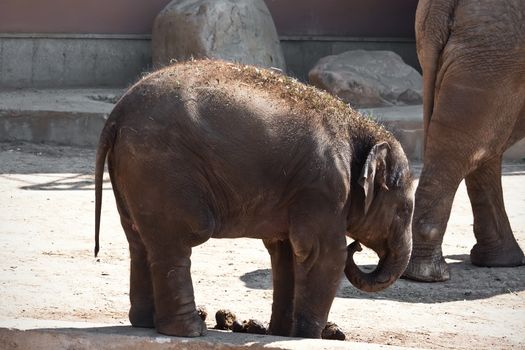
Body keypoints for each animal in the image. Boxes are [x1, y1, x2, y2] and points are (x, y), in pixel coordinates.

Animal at [95, 58, 414, 338]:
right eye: (405, 209)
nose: (356, 246)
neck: (359, 128)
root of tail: (117, 114)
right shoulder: (324, 188)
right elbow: (324, 253)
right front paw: (307, 338)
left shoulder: (300, 192)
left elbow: (285, 253)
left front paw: (283, 334)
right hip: (163, 171)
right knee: (176, 242)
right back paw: (190, 331)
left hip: (133, 175)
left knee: (139, 242)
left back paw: (145, 323)